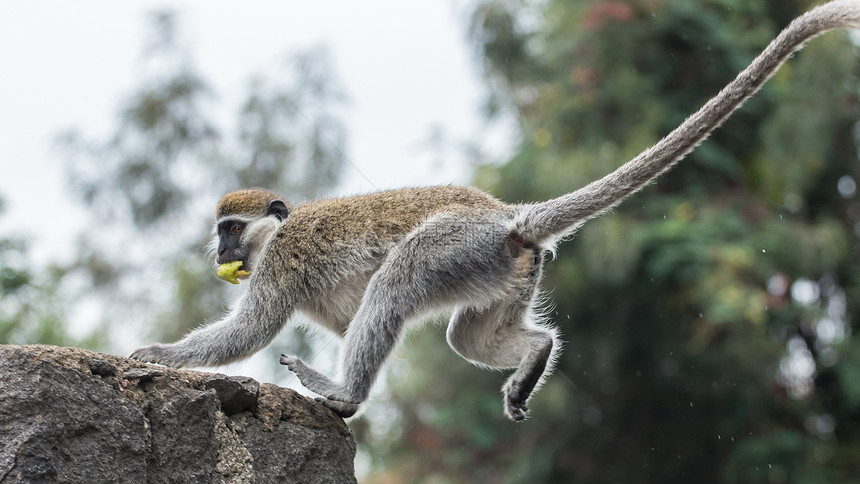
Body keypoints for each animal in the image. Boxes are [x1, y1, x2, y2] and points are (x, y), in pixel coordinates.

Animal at [131, 0, 860, 420]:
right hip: (502, 271)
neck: (280, 230)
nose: (222, 253)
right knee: (468, 337)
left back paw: (345, 396)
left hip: (453, 247)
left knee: (395, 284)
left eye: (230, 230)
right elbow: (344, 323)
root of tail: (507, 215)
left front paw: (155, 355)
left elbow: (250, 332)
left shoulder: (281, 263)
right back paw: (535, 352)